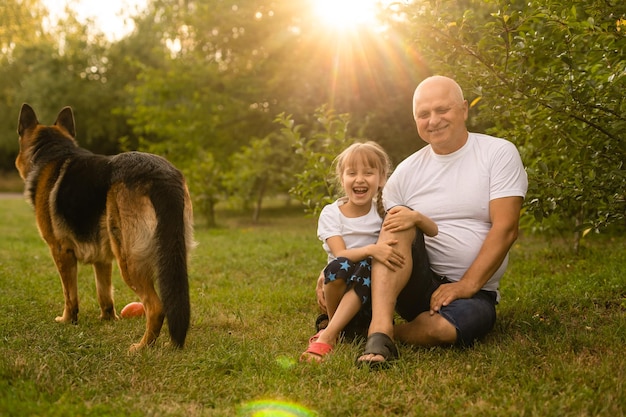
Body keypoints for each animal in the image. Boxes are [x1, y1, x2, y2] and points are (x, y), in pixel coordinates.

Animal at [15, 104, 195, 352]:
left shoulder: (60, 252)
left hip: (129, 260)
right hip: (172, 255)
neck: (53, 152)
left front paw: (68, 320)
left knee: (156, 307)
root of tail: (161, 174)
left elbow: (69, 294)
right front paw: (108, 320)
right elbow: (105, 294)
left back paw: (141, 347)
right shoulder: (102, 259)